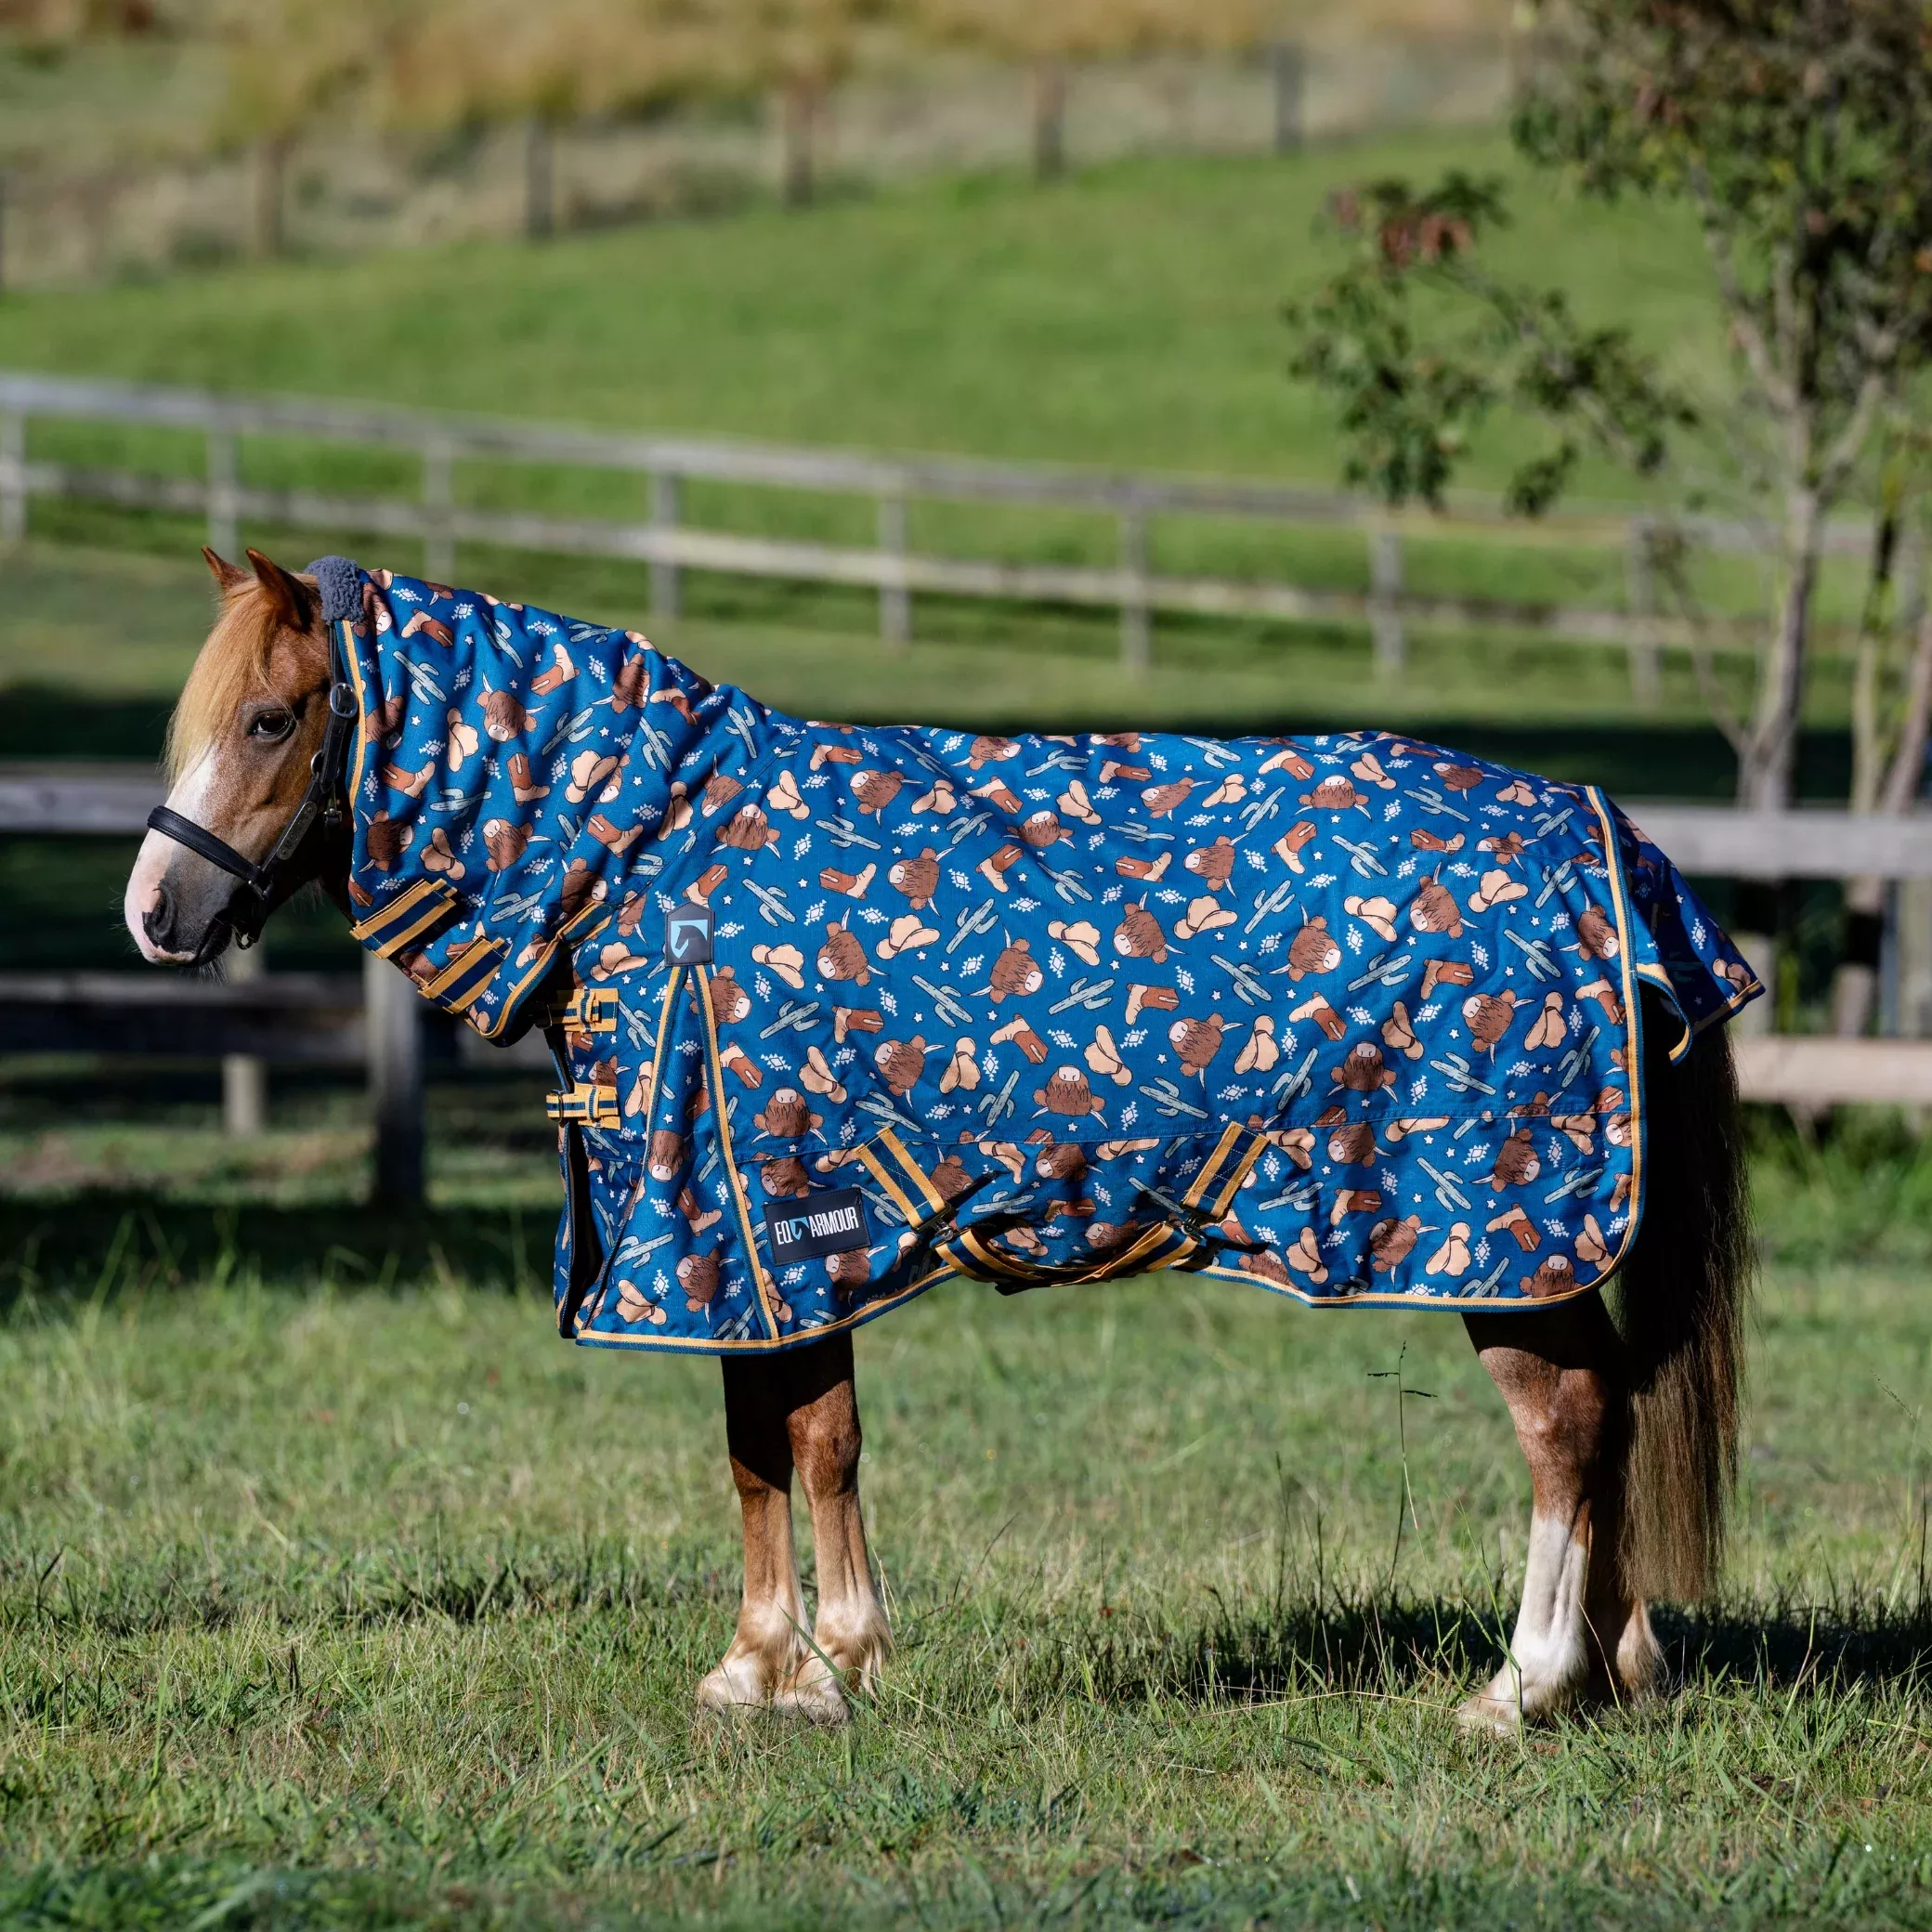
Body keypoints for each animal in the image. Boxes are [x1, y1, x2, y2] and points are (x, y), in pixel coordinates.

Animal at [125, 547, 1754, 1732]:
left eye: (270, 718)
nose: (155, 913)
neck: (656, 859)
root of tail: (1609, 841)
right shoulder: (743, 1250)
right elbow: (761, 1448)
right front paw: (762, 1668)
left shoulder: (774, 1228)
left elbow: (812, 1441)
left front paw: (828, 1668)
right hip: (1542, 1255)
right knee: (1608, 1413)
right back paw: (1621, 1667)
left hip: (1496, 1235)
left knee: (1566, 1429)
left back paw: (1523, 1687)